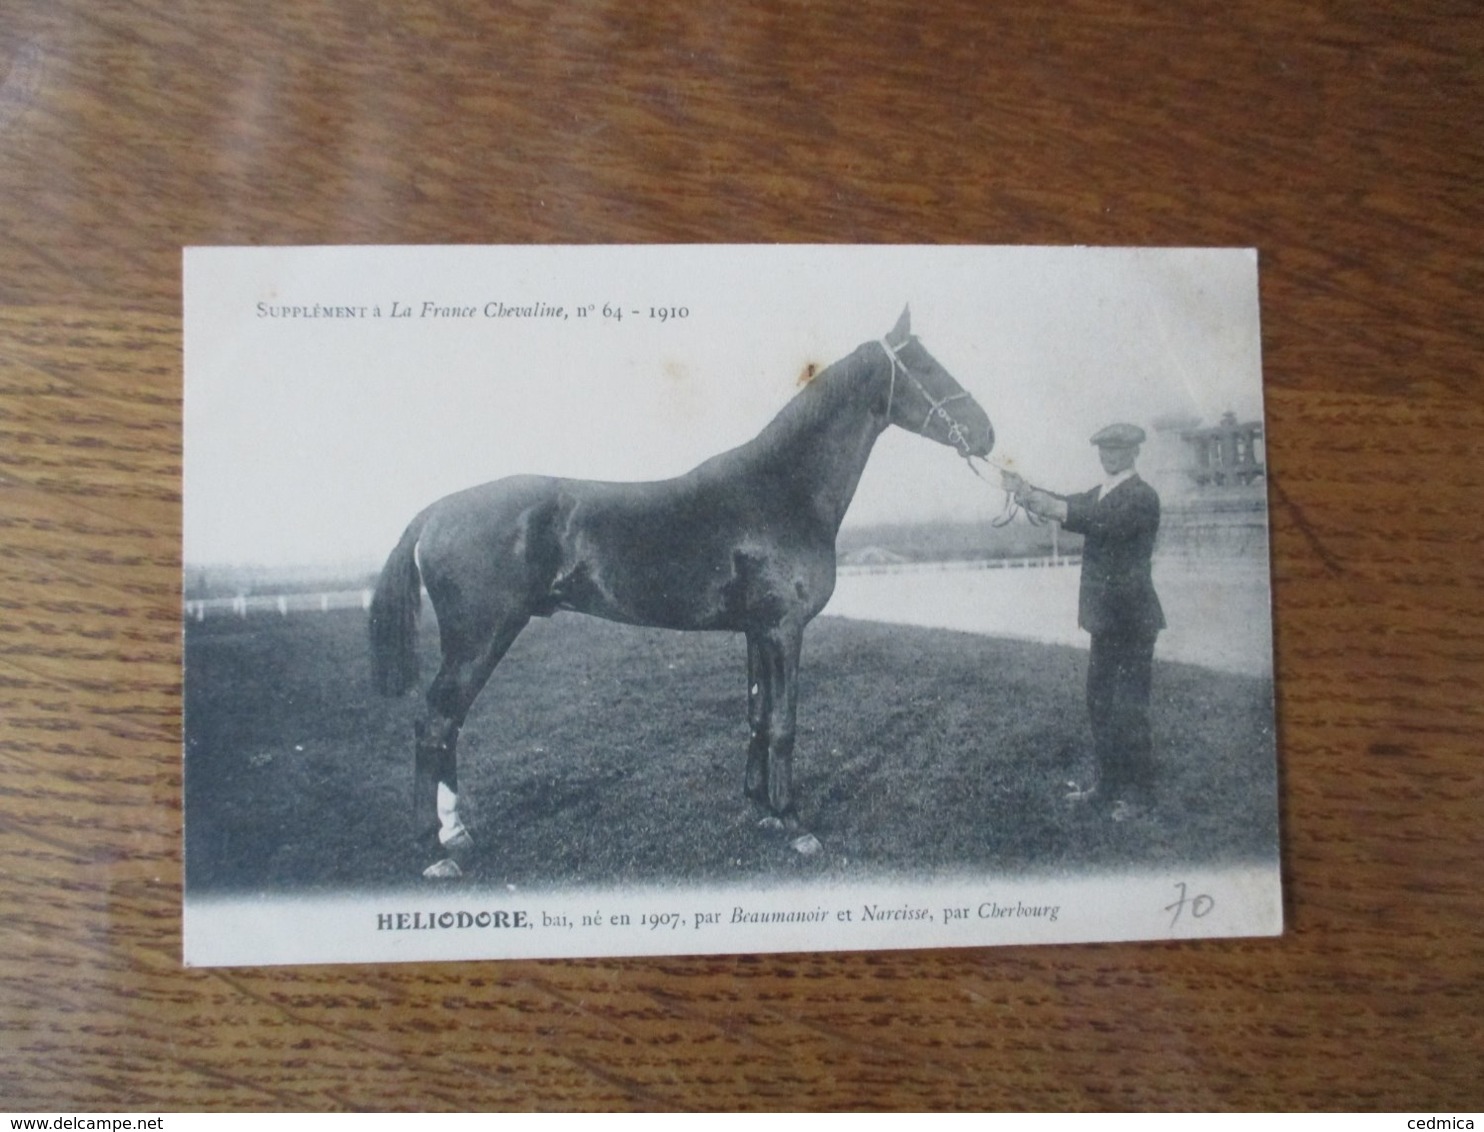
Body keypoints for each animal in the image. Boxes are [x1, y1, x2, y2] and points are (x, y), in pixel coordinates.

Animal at [371, 307, 997, 878]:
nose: (987, 434)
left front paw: (760, 808)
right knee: (435, 724)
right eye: (926, 367)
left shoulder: (756, 631)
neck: (783, 490)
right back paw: (435, 850)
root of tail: (435, 512)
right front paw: (795, 824)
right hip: (479, 638)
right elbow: (785, 723)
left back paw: (457, 833)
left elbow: (757, 716)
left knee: (448, 724)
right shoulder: (784, 629)